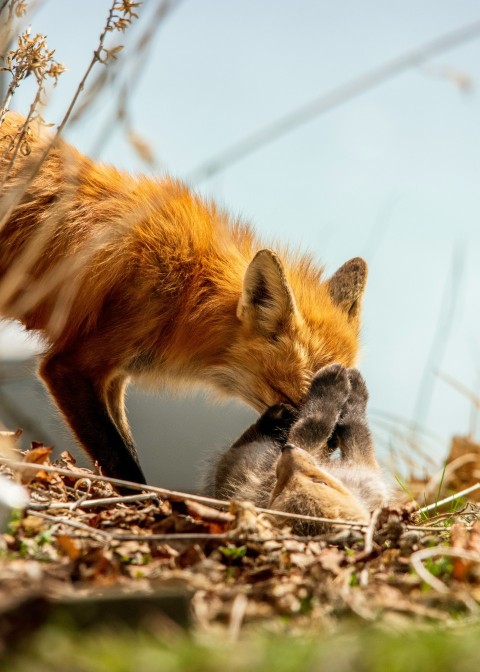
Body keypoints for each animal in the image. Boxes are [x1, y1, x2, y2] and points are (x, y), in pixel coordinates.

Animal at [0, 113, 368, 486]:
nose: (332, 445)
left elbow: (126, 445)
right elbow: (123, 462)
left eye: (346, 397)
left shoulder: (115, 376)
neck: (188, 293)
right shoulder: (71, 367)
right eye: (299, 398)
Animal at [205, 364, 390, 532]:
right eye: (321, 482)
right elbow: (345, 426)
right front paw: (343, 384)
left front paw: (340, 384)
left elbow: (330, 424)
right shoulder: (365, 470)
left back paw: (280, 416)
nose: (288, 449)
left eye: (278, 492)